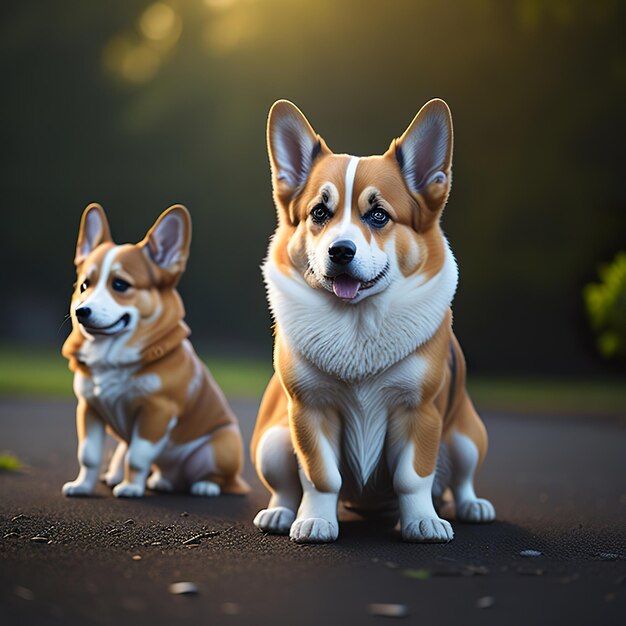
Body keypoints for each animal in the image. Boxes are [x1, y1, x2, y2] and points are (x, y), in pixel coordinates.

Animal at [62, 204, 247, 498]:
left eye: (120, 285)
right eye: (84, 285)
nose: (81, 312)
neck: (112, 358)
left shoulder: (156, 412)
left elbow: (137, 457)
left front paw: (130, 488)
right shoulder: (89, 408)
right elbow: (88, 455)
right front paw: (82, 486)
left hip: (222, 445)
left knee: (217, 477)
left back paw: (204, 486)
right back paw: (158, 480)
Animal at [251, 97, 494, 540]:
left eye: (378, 215)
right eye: (319, 212)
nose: (340, 251)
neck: (358, 322)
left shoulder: (419, 412)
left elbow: (413, 478)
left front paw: (422, 522)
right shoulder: (310, 410)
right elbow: (320, 476)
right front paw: (315, 520)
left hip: (467, 438)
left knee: (462, 477)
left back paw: (471, 506)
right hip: (272, 443)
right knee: (285, 485)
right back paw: (280, 513)